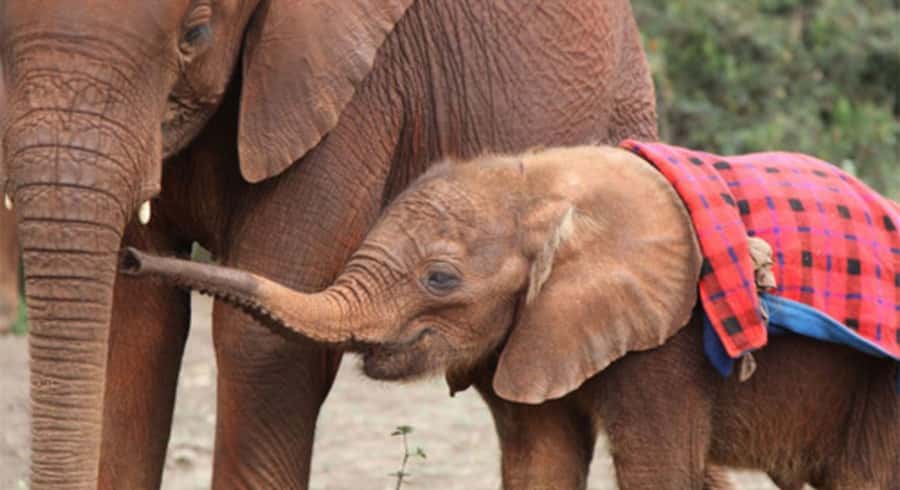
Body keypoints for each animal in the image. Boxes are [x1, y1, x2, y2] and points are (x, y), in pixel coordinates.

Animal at [124, 145, 900, 490]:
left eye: (440, 278)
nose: (131, 256)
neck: (546, 182)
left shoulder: (667, 346)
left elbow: (656, 469)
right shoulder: (540, 332)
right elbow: (539, 457)